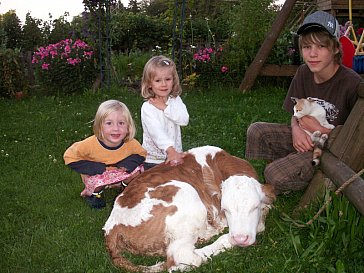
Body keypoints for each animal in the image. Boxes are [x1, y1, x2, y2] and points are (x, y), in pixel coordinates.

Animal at [104, 146, 274, 270]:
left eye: (254, 207)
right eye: (226, 209)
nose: (239, 238)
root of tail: (112, 226)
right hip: (185, 192)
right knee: (183, 258)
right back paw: (222, 239)